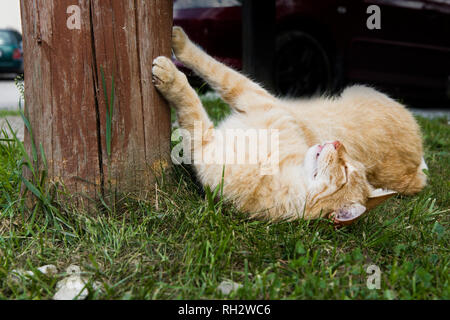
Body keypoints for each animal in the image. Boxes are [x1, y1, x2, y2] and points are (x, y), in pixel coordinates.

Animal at [153, 26, 428, 225]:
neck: (278, 165)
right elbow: (213, 66)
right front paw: (180, 41)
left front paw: (170, 75)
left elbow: (190, 99)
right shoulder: (250, 94)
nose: (337, 143)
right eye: (349, 160)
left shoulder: (205, 143)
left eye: (346, 169)